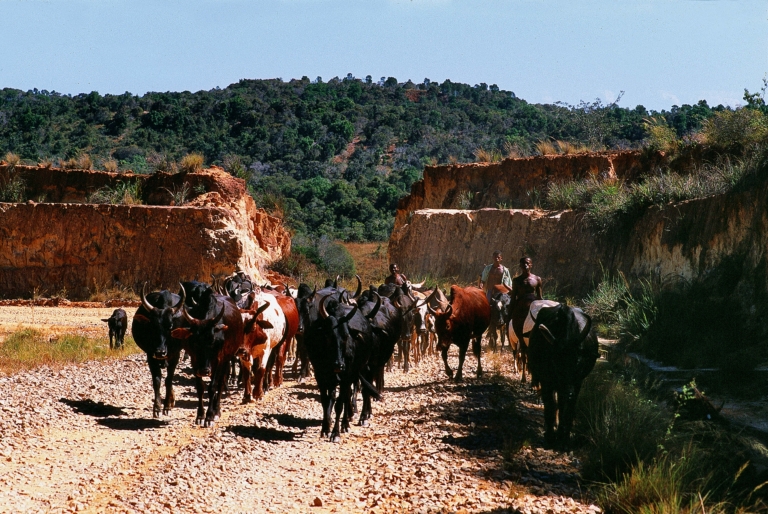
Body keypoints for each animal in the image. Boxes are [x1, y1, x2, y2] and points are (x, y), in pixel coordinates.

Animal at [131, 284, 186, 418]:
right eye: (153, 326)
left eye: (170, 326)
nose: (160, 352)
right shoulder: (150, 356)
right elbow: (157, 380)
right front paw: (157, 408)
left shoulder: (175, 355)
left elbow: (169, 380)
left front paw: (167, 406)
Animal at [526, 301, 600, 445]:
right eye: (555, 360)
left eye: (578, 361)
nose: (568, 392)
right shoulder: (547, 381)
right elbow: (550, 405)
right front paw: (550, 436)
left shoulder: (577, 382)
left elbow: (567, 408)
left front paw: (563, 437)